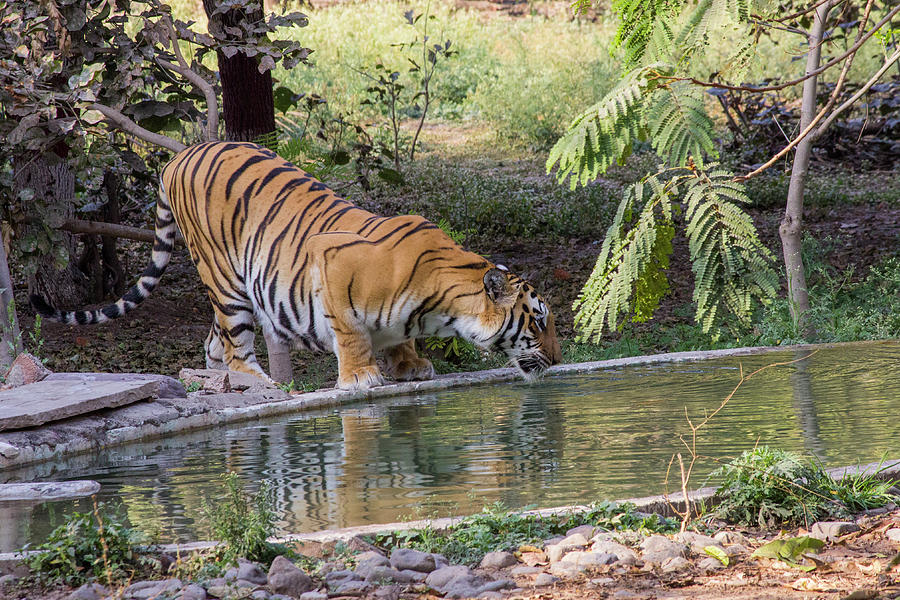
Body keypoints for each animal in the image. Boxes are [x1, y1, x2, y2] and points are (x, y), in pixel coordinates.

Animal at [28, 141, 560, 390]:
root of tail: (179, 155)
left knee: (214, 341)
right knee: (236, 344)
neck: (441, 306)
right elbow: (351, 330)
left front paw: (410, 365)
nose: (558, 361)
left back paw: (222, 384)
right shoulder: (334, 264)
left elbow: (399, 338)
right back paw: (257, 382)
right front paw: (362, 376)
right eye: (538, 321)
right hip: (224, 277)